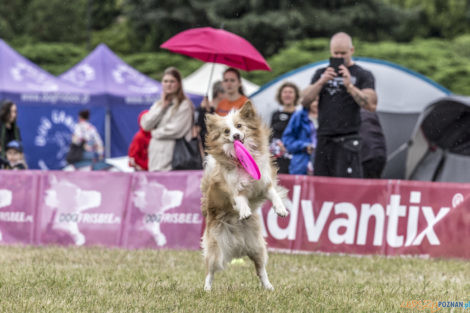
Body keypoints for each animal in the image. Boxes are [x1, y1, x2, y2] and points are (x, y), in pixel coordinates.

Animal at [200, 100, 288, 290]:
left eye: (239, 126)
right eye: (226, 131)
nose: (235, 136)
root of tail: (237, 243)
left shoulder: (264, 184)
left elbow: (274, 195)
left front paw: (281, 210)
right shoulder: (232, 188)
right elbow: (240, 198)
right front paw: (245, 211)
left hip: (257, 246)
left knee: (260, 269)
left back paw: (268, 287)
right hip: (215, 247)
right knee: (210, 270)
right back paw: (207, 289)